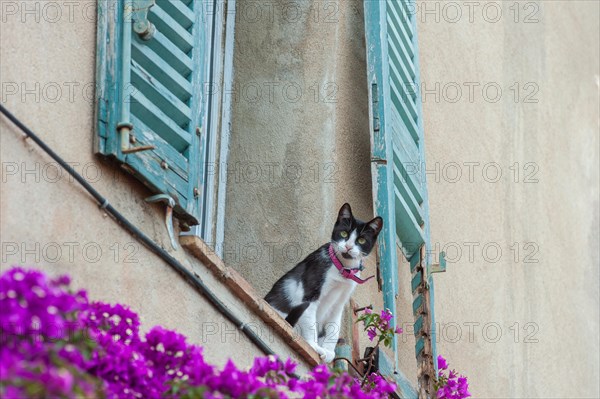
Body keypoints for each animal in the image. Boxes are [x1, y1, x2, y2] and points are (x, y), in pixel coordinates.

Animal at [264, 205, 382, 364]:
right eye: (344, 233)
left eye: (361, 240)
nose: (348, 246)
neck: (342, 270)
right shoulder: (309, 293)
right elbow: (310, 323)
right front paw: (313, 347)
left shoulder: (340, 303)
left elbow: (334, 327)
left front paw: (329, 352)